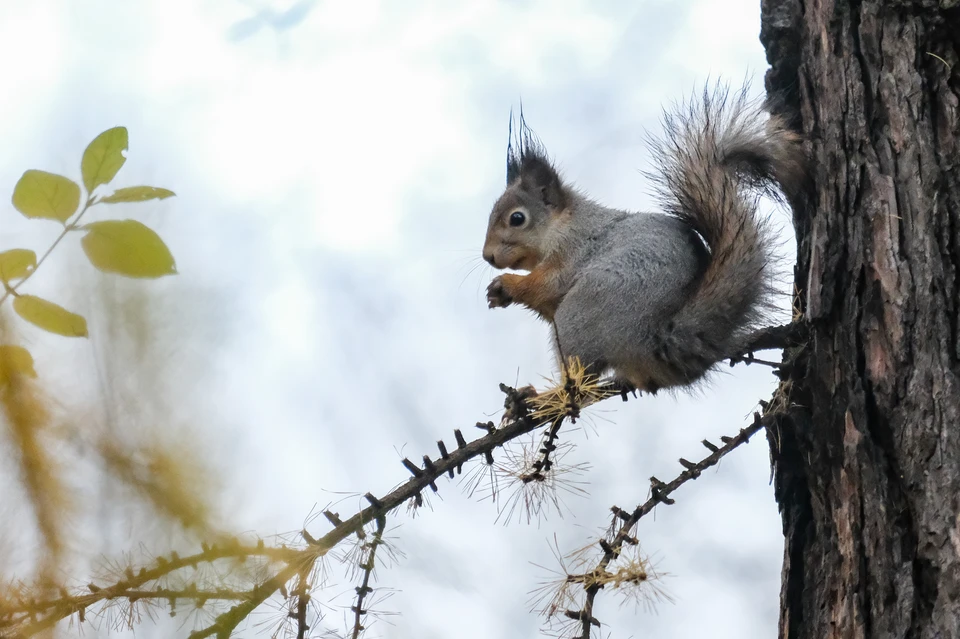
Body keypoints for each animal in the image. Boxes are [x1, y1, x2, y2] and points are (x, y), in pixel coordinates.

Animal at [484, 85, 808, 396]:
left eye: (517, 218)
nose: (488, 257)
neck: (563, 225)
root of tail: (657, 341)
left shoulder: (576, 248)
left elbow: (549, 285)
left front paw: (508, 284)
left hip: (579, 314)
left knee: (581, 376)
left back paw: (545, 396)